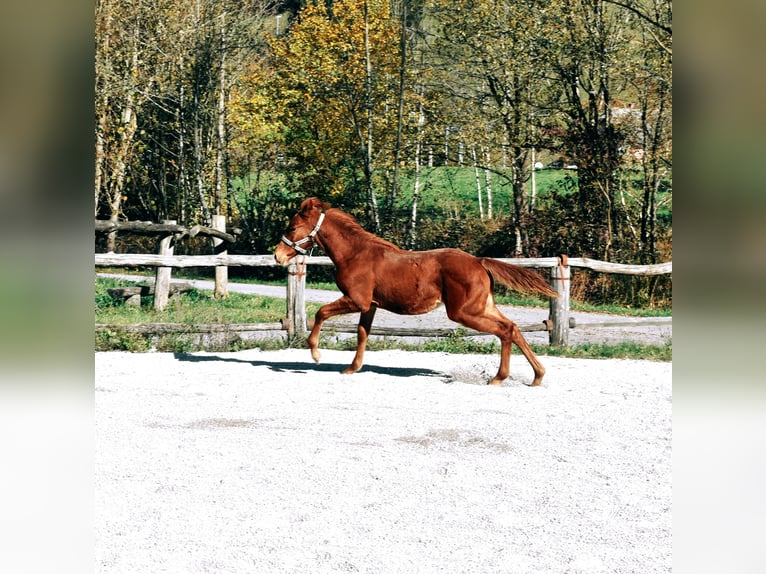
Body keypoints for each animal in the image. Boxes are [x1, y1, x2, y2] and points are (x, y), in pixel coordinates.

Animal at [276, 198, 560, 388]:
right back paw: (537, 376)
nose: (278, 255)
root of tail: (479, 261)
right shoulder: (370, 305)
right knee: (512, 328)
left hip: (464, 312)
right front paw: (351, 368)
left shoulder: (357, 300)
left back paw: (499, 378)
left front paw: (315, 354)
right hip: (482, 307)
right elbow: (362, 334)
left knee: (504, 331)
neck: (355, 254)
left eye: (292, 227)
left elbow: (321, 312)